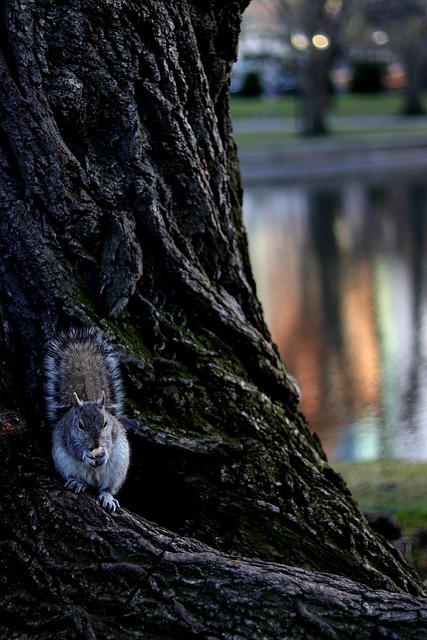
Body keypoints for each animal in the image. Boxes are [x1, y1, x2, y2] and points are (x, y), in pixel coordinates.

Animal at [44, 328, 130, 512]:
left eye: (105, 423)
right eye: (80, 425)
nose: (95, 445)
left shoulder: (112, 434)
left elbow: (109, 446)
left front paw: (104, 454)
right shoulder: (68, 437)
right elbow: (75, 450)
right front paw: (85, 455)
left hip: (117, 471)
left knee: (106, 488)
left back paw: (107, 497)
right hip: (65, 465)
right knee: (83, 481)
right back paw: (78, 482)